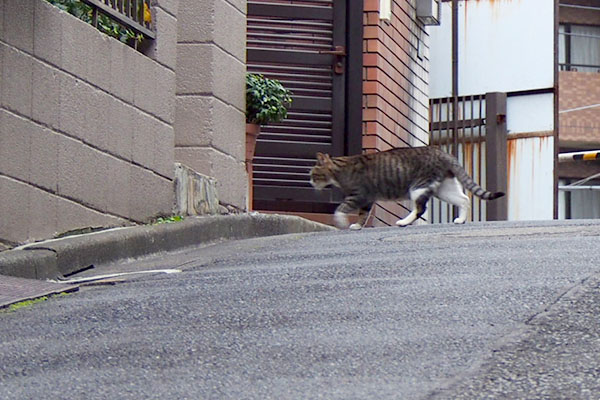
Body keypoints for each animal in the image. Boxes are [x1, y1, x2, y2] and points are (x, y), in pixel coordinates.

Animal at [312, 145, 504, 230]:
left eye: (313, 174)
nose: (310, 183)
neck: (340, 169)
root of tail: (443, 152)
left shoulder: (358, 195)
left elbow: (340, 208)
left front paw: (341, 221)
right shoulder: (367, 199)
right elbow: (363, 214)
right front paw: (358, 225)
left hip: (418, 186)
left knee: (420, 208)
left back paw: (403, 222)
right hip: (445, 189)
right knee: (464, 199)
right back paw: (460, 219)